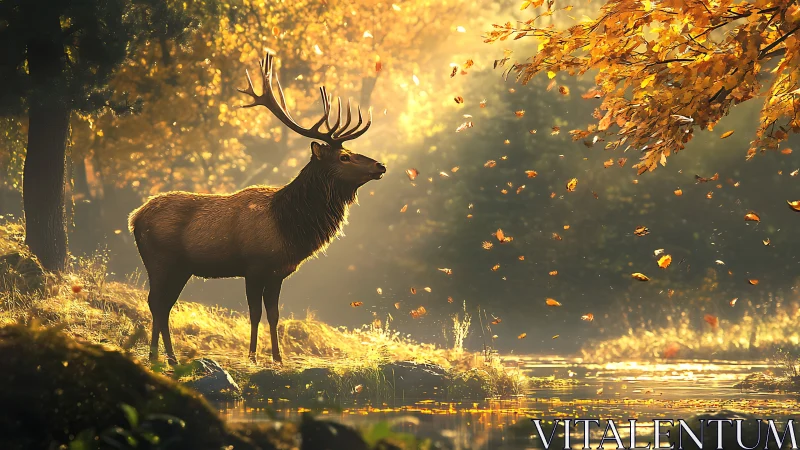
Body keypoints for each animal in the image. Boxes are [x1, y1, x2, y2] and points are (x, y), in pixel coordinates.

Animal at [128, 53, 385, 366]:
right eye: (344, 157)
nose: (380, 165)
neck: (289, 226)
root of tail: (134, 217)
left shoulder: (278, 271)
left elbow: (274, 314)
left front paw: (277, 357)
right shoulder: (254, 265)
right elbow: (253, 313)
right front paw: (252, 356)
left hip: (181, 267)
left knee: (164, 304)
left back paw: (169, 357)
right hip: (160, 259)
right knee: (156, 302)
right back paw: (158, 356)